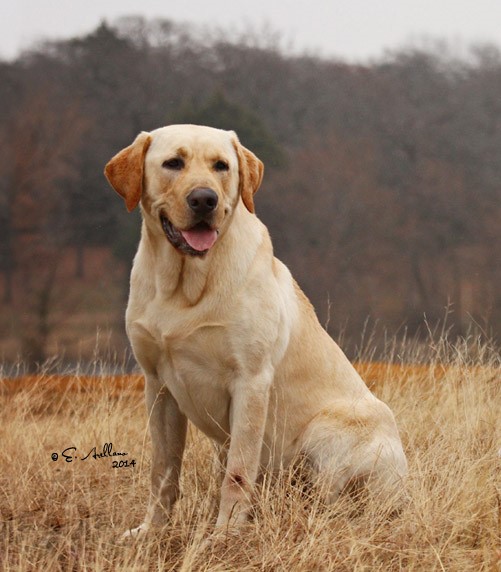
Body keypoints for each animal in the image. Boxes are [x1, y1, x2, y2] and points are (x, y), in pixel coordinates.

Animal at [105, 125, 406, 536]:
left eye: (221, 166)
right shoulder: (158, 385)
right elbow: (163, 471)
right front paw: (153, 530)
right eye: (173, 163)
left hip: (328, 429)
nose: (205, 199)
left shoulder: (250, 382)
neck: (185, 285)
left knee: (330, 500)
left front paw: (224, 534)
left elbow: (238, 472)